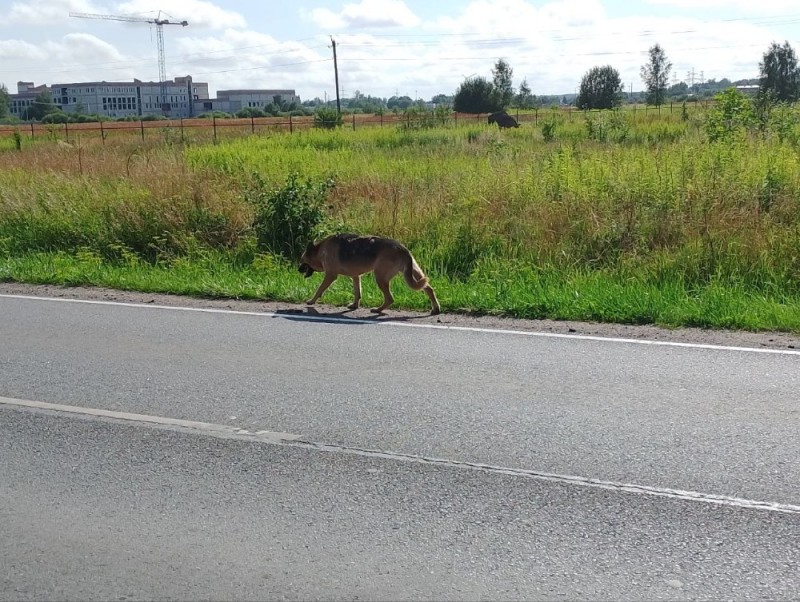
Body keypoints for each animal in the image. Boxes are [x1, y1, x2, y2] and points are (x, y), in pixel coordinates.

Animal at [298, 232, 440, 314]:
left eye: (302, 260)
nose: (298, 270)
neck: (320, 250)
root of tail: (401, 248)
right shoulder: (356, 276)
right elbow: (357, 293)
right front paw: (354, 305)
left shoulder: (330, 276)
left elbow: (319, 289)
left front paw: (311, 301)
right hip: (416, 274)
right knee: (429, 289)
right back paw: (436, 308)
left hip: (380, 278)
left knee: (390, 298)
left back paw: (378, 310)